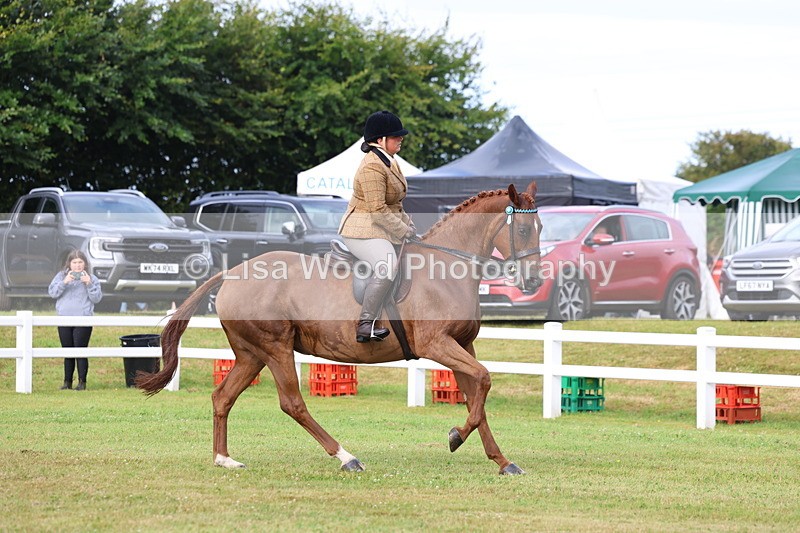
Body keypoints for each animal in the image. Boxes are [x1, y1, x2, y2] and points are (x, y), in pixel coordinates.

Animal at [137, 182, 542, 475]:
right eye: (524, 228)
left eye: (540, 227)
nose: (535, 280)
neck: (446, 267)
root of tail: (232, 272)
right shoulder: (437, 345)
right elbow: (484, 381)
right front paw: (456, 436)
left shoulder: (462, 345)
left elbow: (478, 396)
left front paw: (502, 461)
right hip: (275, 348)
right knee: (293, 403)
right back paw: (346, 457)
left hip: (252, 354)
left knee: (223, 397)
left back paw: (224, 459)